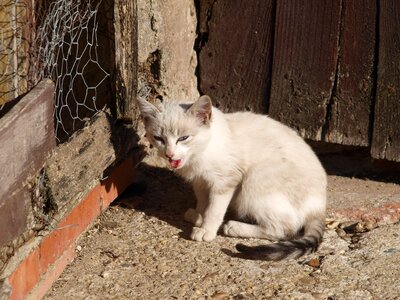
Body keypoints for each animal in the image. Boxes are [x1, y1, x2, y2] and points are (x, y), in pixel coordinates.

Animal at [137, 96, 324, 260]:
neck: (200, 152)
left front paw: (206, 230)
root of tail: (319, 208)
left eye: (183, 138)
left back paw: (233, 227)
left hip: (253, 181)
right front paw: (198, 215)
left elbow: (214, 210)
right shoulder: (200, 181)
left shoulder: (225, 181)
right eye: (158, 138)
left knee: (285, 229)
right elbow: (203, 200)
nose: (169, 154)